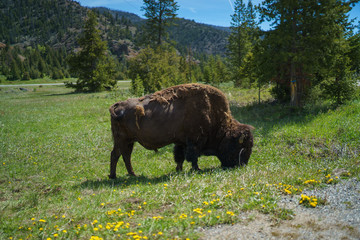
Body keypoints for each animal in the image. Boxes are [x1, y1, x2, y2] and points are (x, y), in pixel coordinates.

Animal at [108, 82, 255, 178]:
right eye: (241, 146)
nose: (242, 165)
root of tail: (117, 106)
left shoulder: (181, 142)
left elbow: (180, 156)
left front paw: (178, 169)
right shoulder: (194, 141)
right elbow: (192, 156)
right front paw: (197, 169)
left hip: (127, 141)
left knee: (122, 155)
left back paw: (127, 175)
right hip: (123, 140)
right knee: (119, 155)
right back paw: (119, 176)